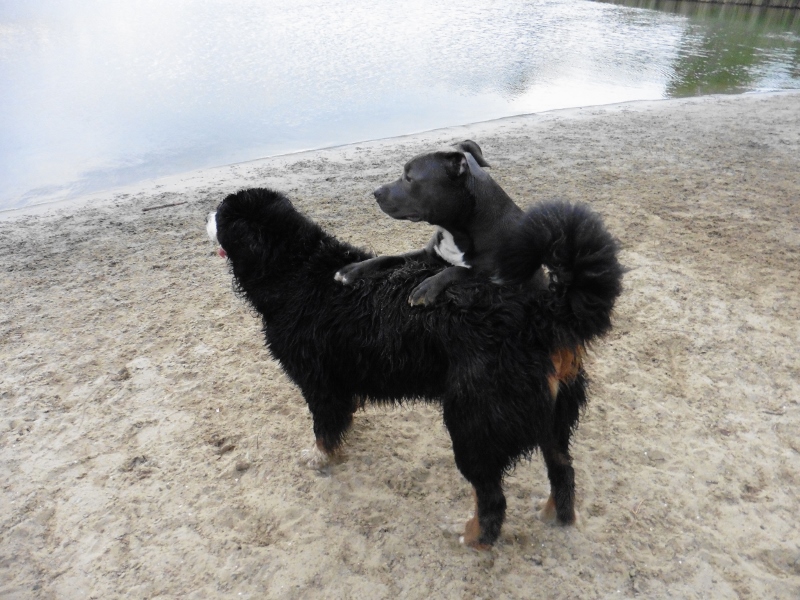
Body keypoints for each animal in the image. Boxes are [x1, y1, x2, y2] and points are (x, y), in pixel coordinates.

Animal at [207, 187, 623, 549]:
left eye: (221, 213)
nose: (205, 215)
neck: (294, 270)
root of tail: (538, 314)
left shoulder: (318, 381)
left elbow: (323, 428)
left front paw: (318, 457)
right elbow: (341, 418)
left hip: (474, 425)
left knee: (492, 499)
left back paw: (473, 538)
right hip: (554, 418)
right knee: (563, 470)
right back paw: (557, 515)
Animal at [334, 141, 547, 305]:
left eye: (409, 178)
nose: (375, 192)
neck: (456, 230)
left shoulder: (499, 279)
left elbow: (459, 270)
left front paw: (428, 286)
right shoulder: (428, 255)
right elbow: (390, 257)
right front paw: (354, 269)